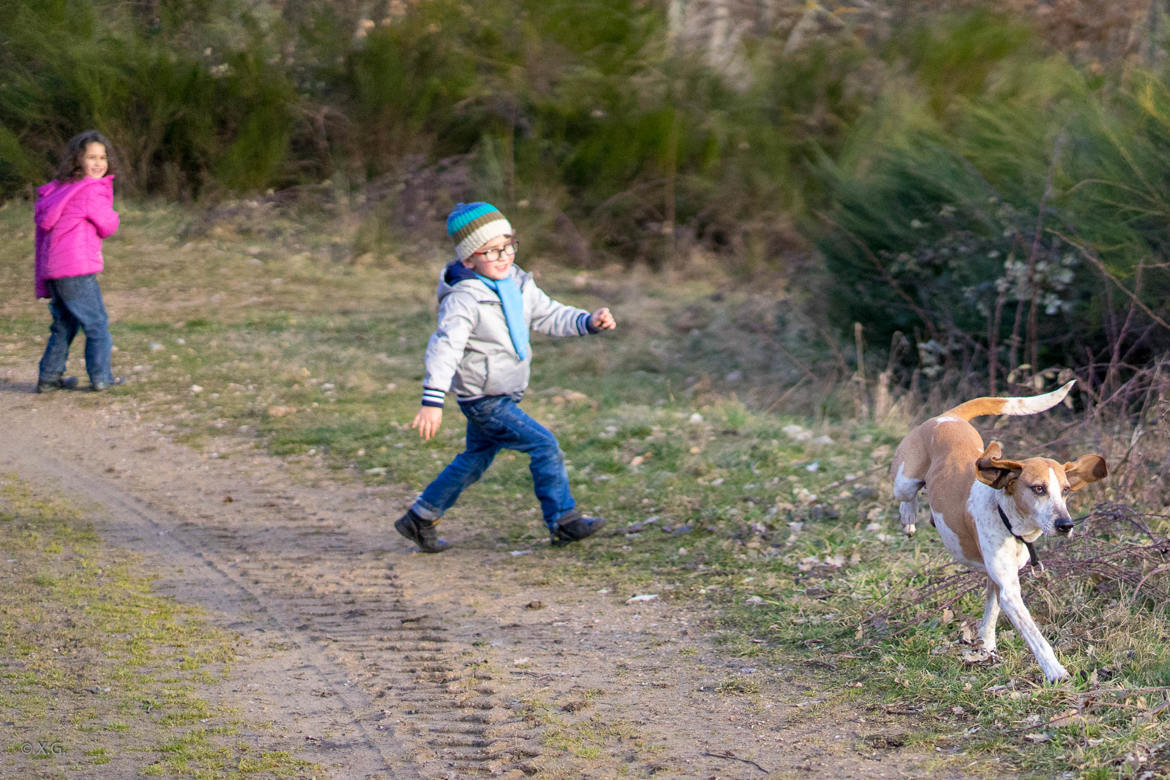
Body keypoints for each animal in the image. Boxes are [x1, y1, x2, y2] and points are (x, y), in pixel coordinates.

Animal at [889, 381, 1109, 678]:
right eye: (1038, 488)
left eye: (1065, 490)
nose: (1066, 525)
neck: (1008, 519)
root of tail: (947, 418)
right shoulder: (1010, 591)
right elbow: (1036, 637)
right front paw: (1055, 672)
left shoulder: (998, 579)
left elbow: (991, 613)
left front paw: (986, 647)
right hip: (904, 479)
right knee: (906, 496)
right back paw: (909, 515)